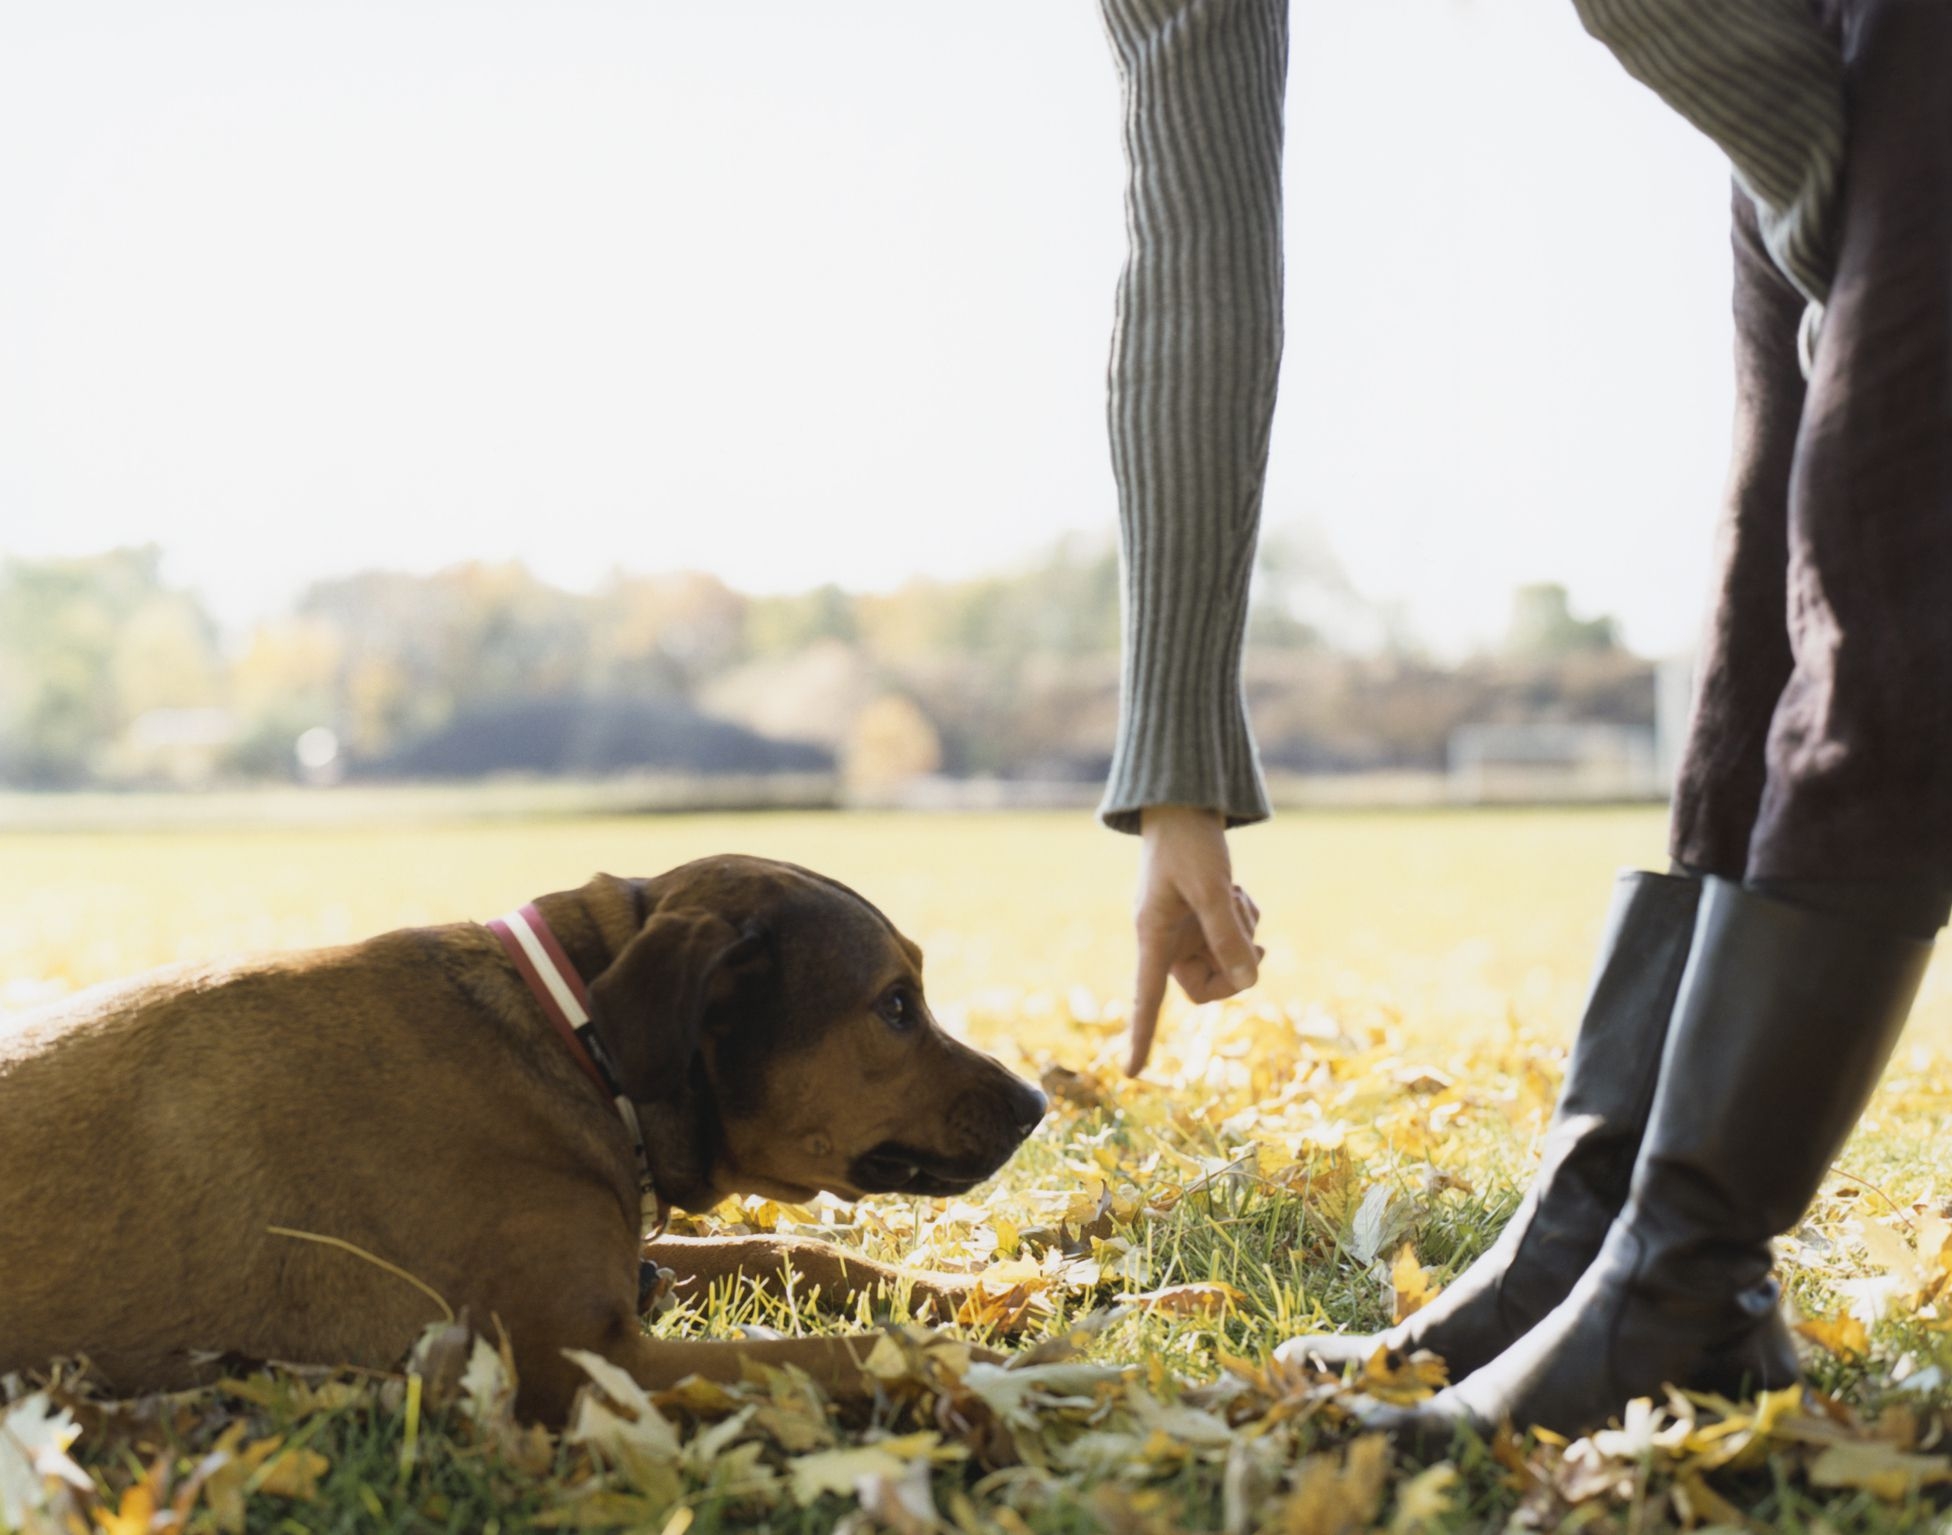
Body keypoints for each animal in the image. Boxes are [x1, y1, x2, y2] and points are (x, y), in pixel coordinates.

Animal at [0, 855, 1054, 1413]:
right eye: (896, 1005)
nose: (1037, 1101)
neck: (575, 1048)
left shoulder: (627, 1259)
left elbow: (790, 1249)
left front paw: (997, 1294)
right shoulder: (581, 1362)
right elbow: (854, 1350)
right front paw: (1030, 1368)